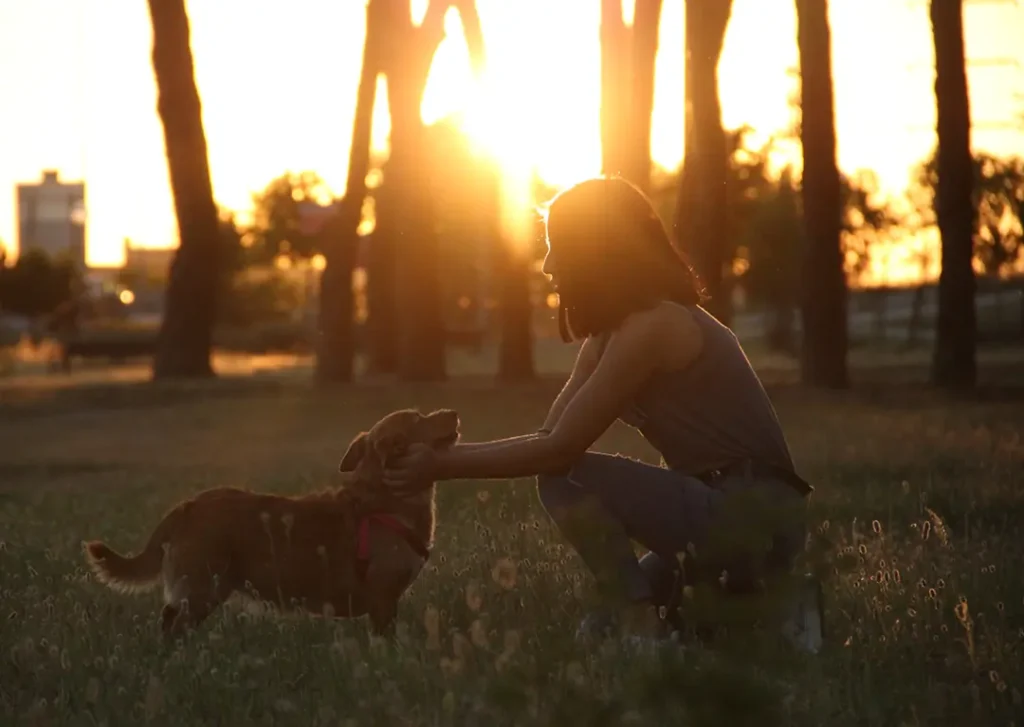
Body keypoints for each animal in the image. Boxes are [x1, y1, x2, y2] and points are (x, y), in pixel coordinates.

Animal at [81, 407, 458, 638]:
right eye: (420, 418)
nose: (453, 413)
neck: (382, 499)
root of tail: (186, 506)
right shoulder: (383, 600)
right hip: (204, 587)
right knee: (172, 622)